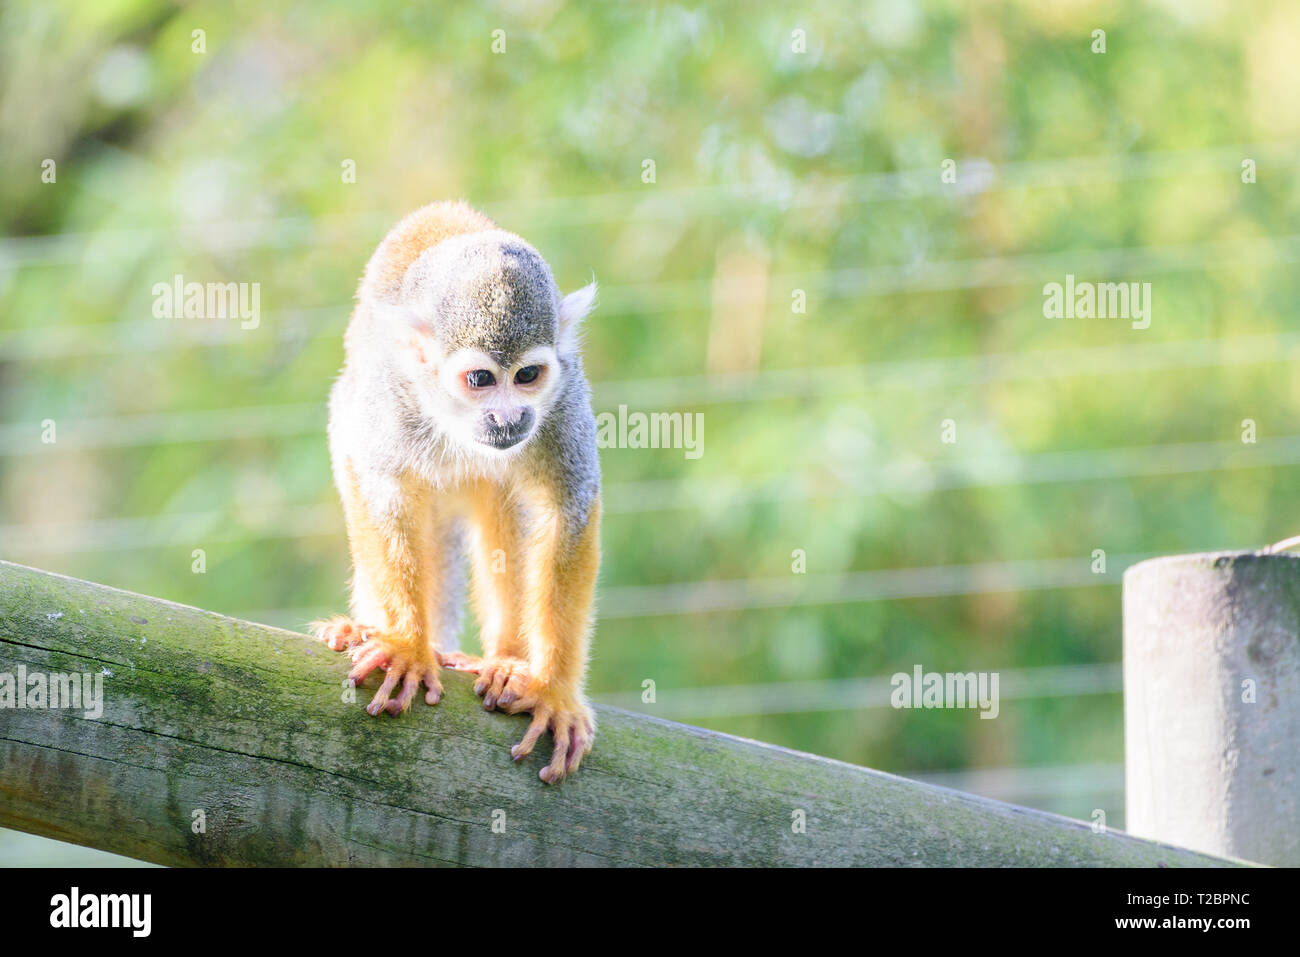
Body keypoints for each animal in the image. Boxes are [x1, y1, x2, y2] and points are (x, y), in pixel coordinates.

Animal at [312, 197, 600, 780]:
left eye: (528, 375)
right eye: (480, 380)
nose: (509, 417)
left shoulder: (564, 393)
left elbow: (568, 507)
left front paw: (554, 692)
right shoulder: (393, 393)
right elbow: (380, 482)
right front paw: (405, 644)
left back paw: (506, 659)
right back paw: (364, 629)